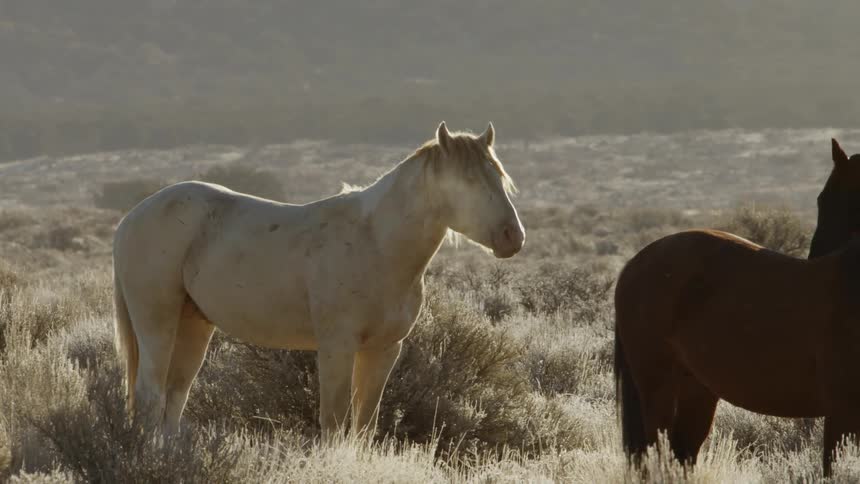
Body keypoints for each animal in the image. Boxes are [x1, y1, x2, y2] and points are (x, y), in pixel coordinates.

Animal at [112, 122, 525, 439]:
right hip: (157, 322)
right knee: (149, 396)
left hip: (194, 324)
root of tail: (131, 218)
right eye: (468, 180)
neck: (375, 242)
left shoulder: (383, 349)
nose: (513, 237)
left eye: (500, 177)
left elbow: (363, 426)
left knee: (173, 397)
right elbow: (334, 423)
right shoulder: (336, 347)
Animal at [614, 138, 860, 476]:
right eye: (822, 199)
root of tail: (633, 263)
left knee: (682, 455)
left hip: (697, 391)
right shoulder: (841, 412)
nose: (817, 255)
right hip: (656, 388)